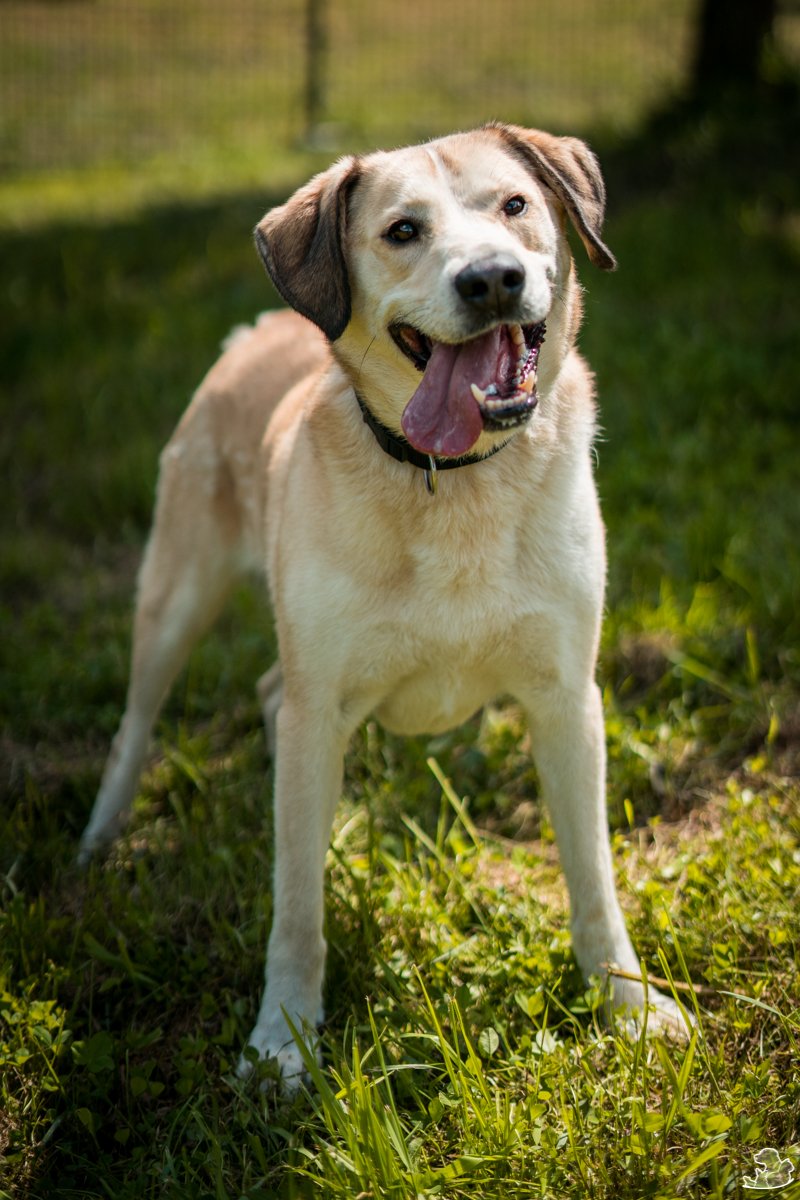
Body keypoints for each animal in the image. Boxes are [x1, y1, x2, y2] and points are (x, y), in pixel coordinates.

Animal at [82, 124, 695, 1089]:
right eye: (403, 230)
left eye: (515, 205)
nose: (493, 280)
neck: (452, 476)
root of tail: (257, 331)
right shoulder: (321, 696)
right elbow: (296, 906)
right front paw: (282, 1040)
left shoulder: (568, 698)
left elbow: (594, 874)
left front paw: (628, 1006)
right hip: (176, 591)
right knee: (139, 723)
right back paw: (100, 840)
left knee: (271, 703)